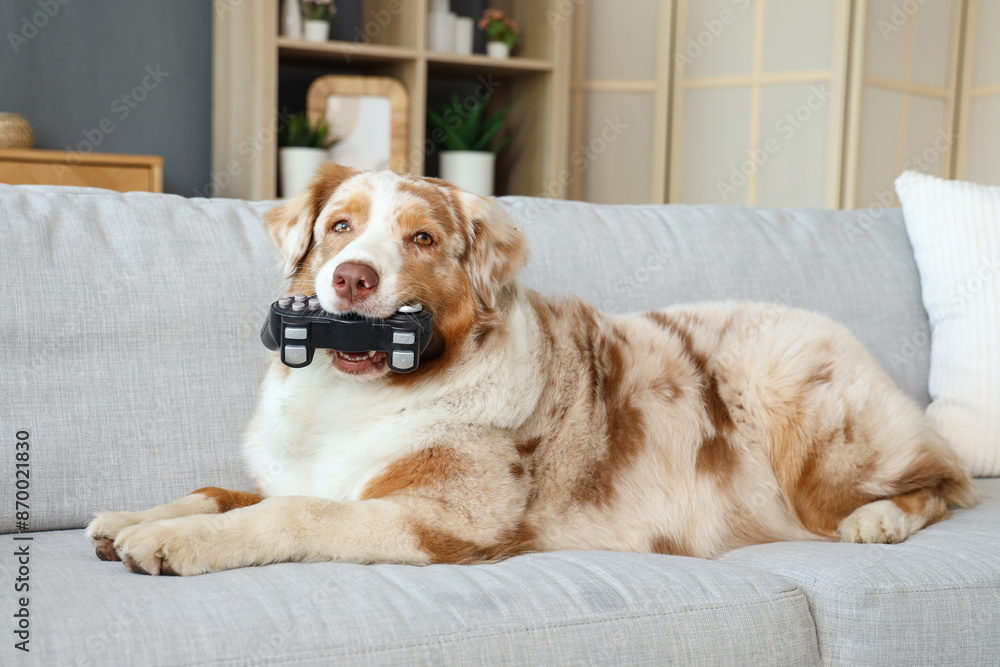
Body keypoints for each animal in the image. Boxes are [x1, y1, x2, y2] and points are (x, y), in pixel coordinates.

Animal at [86, 164, 976, 576]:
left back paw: (881, 520)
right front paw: (140, 514)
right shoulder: (305, 471)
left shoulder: (442, 519)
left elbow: (291, 513)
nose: (352, 278)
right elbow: (224, 490)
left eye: (421, 239)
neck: (356, 395)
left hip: (812, 435)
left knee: (944, 479)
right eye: (339, 226)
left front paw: (179, 541)